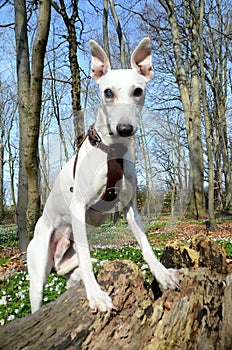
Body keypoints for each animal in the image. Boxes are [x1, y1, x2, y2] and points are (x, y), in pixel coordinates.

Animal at [27, 37, 179, 312]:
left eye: (138, 91)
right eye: (108, 92)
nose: (125, 128)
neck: (112, 151)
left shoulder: (130, 207)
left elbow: (145, 244)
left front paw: (162, 274)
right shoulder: (78, 206)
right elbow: (87, 258)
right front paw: (96, 295)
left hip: (67, 259)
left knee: (72, 273)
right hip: (39, 270)